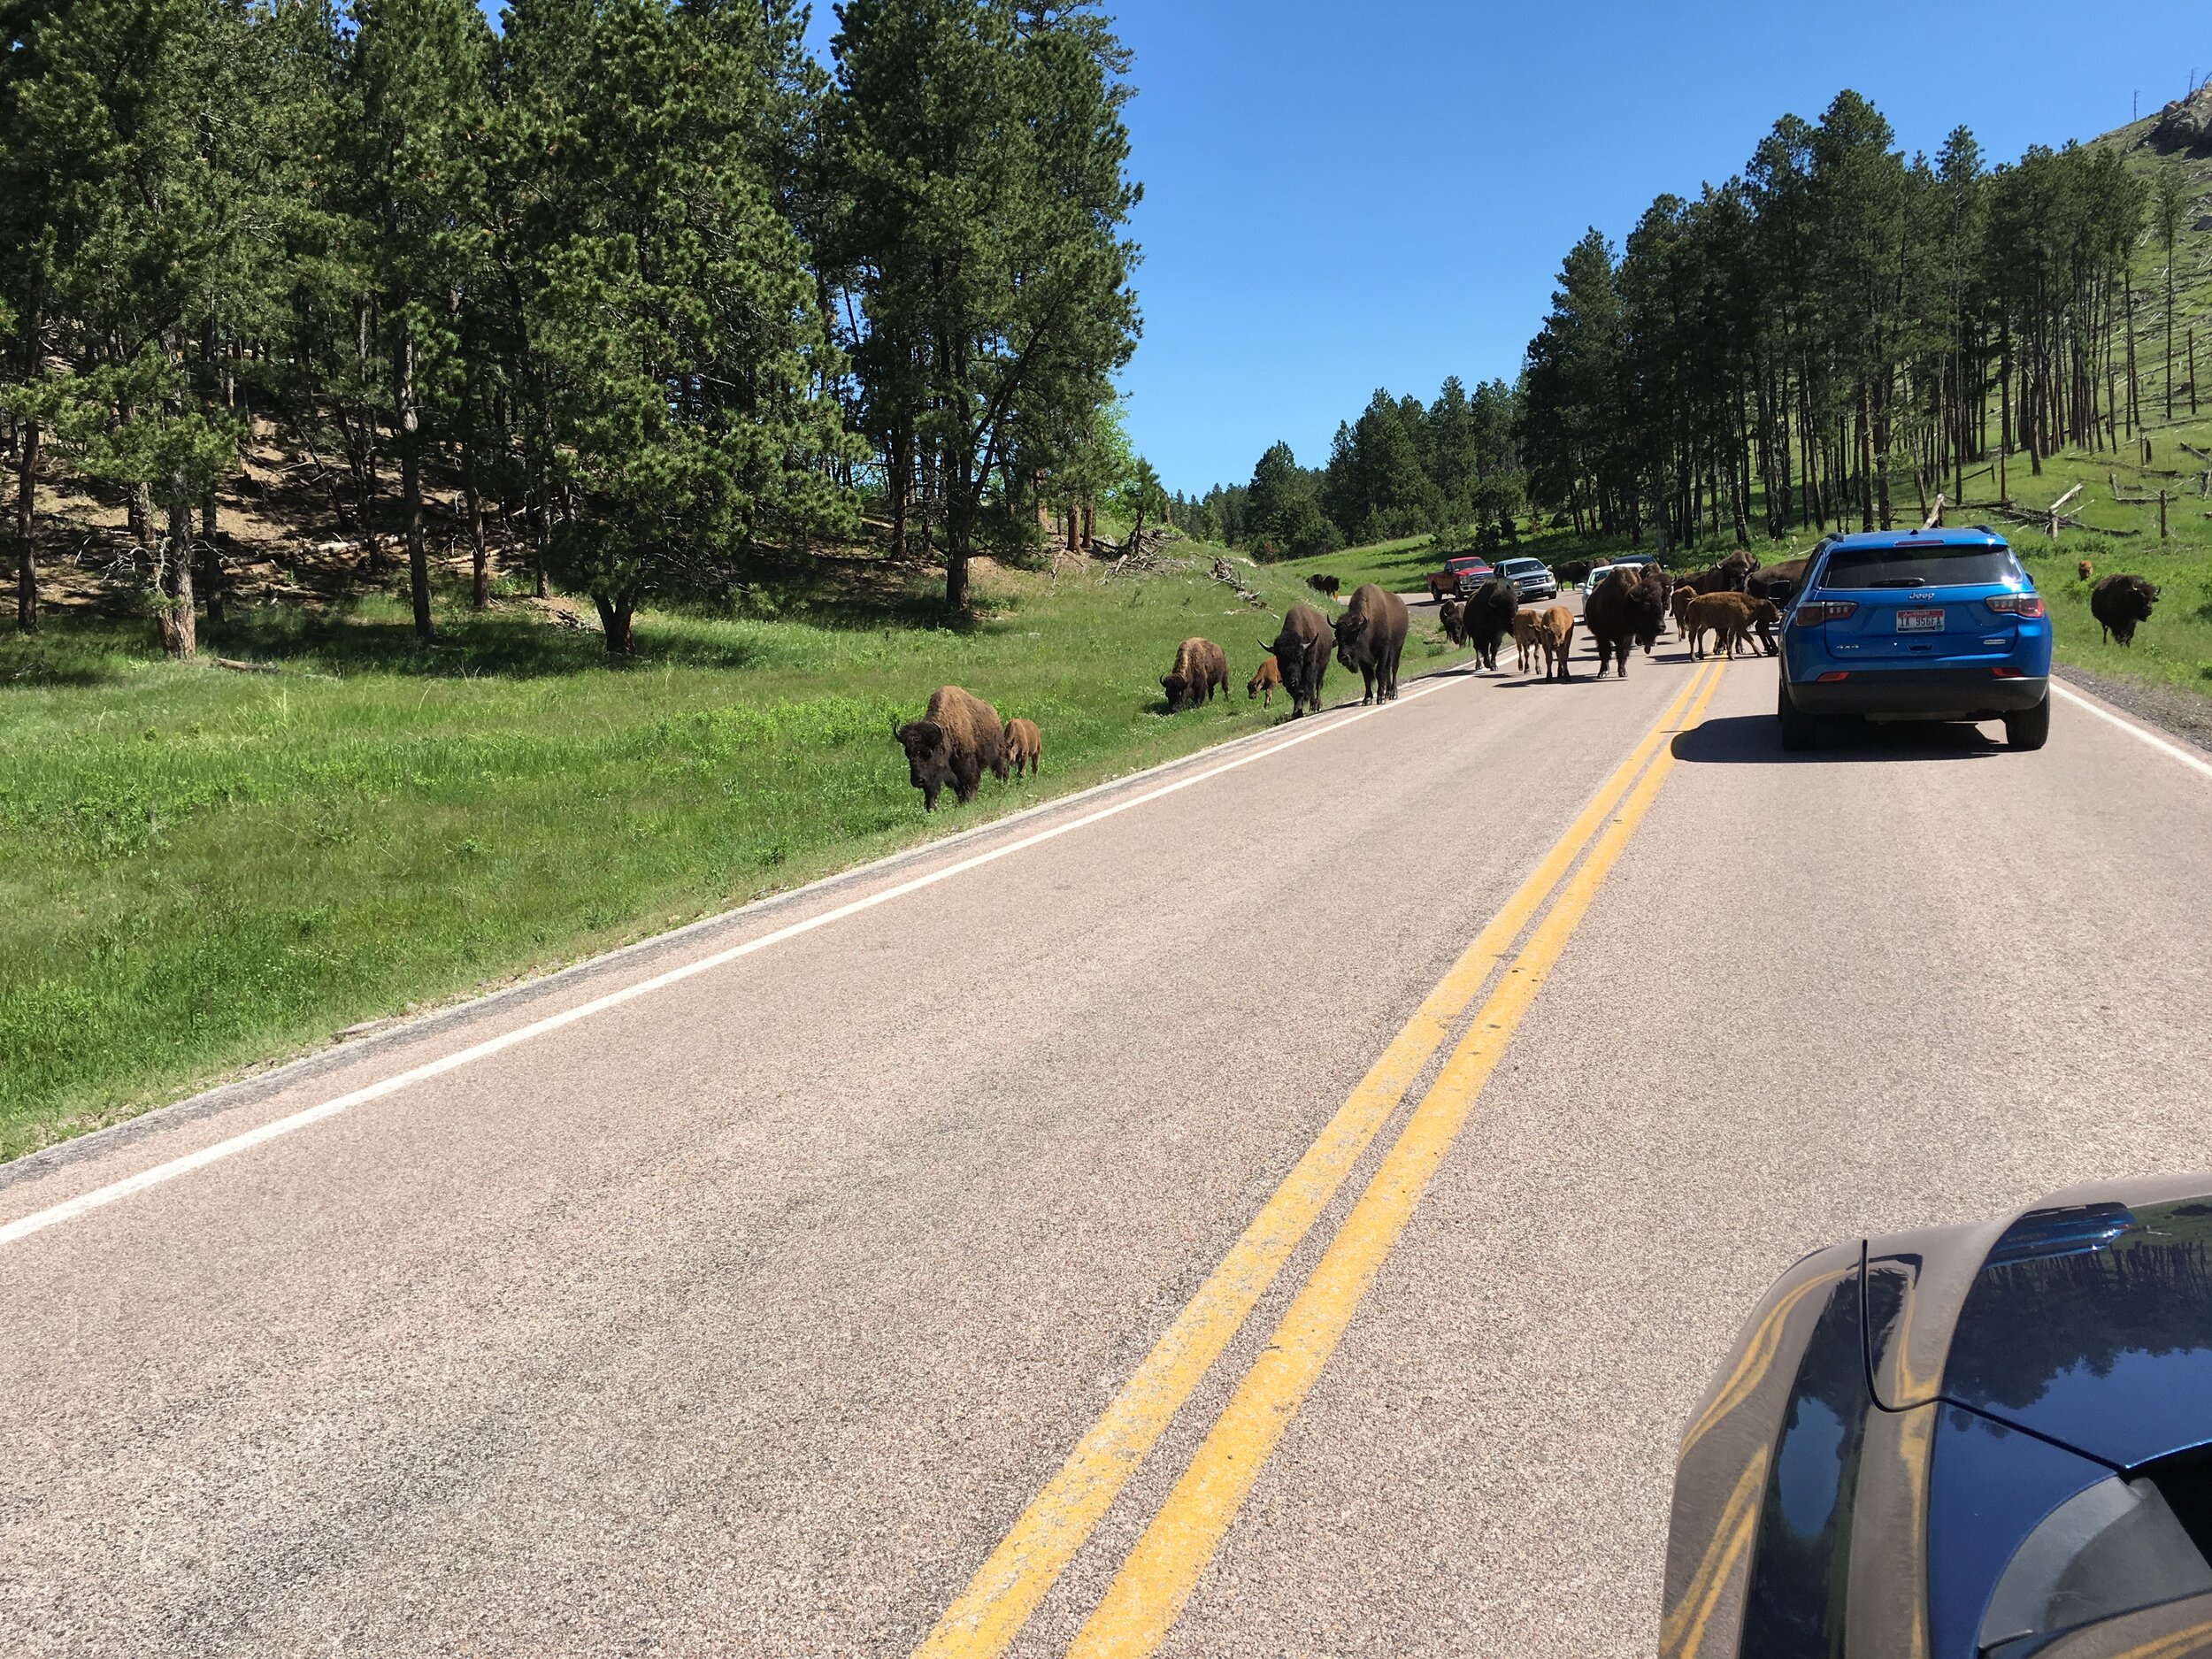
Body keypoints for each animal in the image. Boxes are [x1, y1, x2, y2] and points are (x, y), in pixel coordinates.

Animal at [894, 686, 1009, 814]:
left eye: (929, 752)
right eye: (907, 754)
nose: (918, 781)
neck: (946, 734)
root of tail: (994, 713)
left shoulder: (966, 766)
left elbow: (969, 784)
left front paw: (968, 802)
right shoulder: (934, 776)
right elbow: (933, 792)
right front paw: (932, 809)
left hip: (998, 755)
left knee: (1001, 771)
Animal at [1265, 606, 1327, 721]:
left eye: (1299, 657)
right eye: (1279, 659)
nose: (1292, 681)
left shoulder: (1310, 670)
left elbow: (1306, 688)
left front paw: (1303, 709)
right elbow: (1297, 693)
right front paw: (1296, 712)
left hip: (1322, 668)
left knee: (1318, 685)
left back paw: (1316, 705)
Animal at [1336, 580, 1407, 703]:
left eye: (1355, 635)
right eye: (1337, 635)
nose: (1343, 658)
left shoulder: (1383, 650)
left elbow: (1379, 672)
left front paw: (1380, 698)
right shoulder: (1362, 659)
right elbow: (1367, 677)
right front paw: (1367, 699)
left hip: (1398, 648)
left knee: (1394, 668)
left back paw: (1393, 693)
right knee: (1388, 669)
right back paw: (1388, 692)